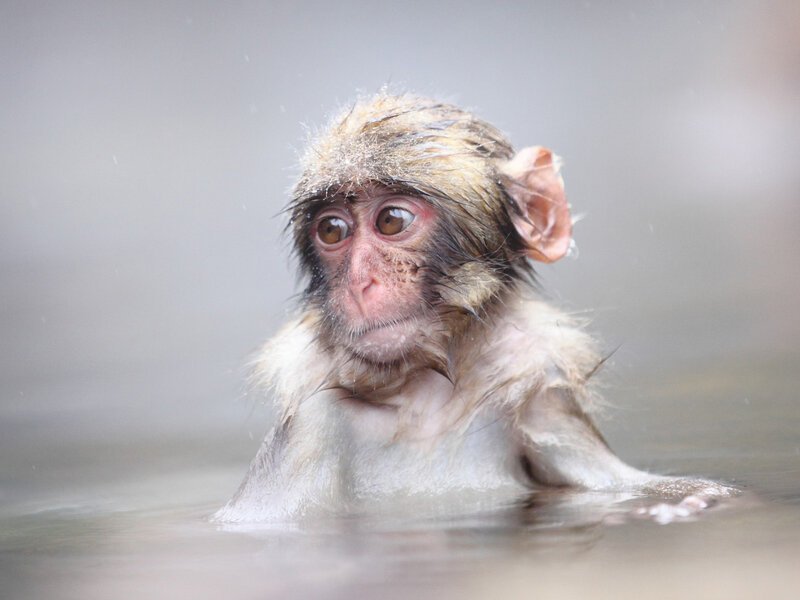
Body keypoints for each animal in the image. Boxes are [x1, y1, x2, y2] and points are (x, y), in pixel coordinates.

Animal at [215, 92, 736, 524]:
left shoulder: (545, 410)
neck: (426, 405)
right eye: (331, 230)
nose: (360, 283)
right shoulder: (309, 426)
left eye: (391, 220)